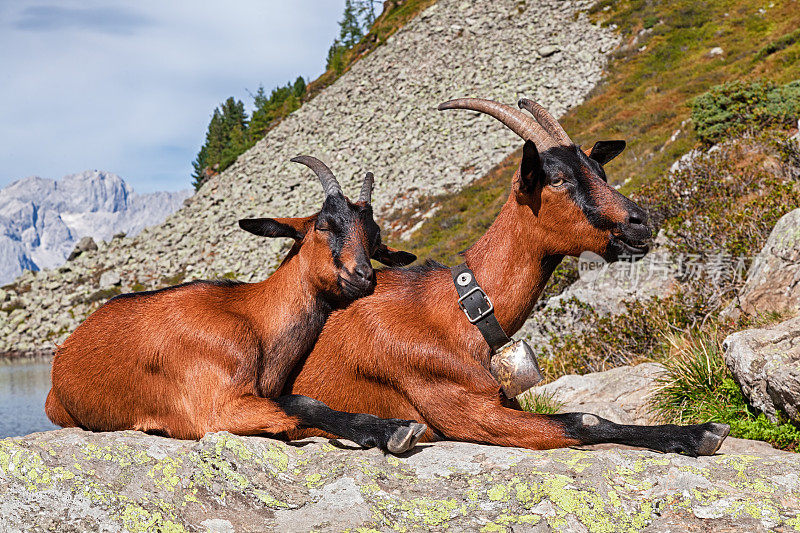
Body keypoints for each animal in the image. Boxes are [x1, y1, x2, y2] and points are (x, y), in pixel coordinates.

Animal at [46, 155, 428, 454]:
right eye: (324, 224)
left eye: (375, 240)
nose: (363, 276)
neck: (254, 319)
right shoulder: (217, 410)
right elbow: (300, 404)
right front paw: (393, 430)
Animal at [286, 97, 732, 456]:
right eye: (558, 179)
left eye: (599, 173)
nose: (640, 223)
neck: (458, 313)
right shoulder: (465, 413)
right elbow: (582, 421)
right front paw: (697, 433)